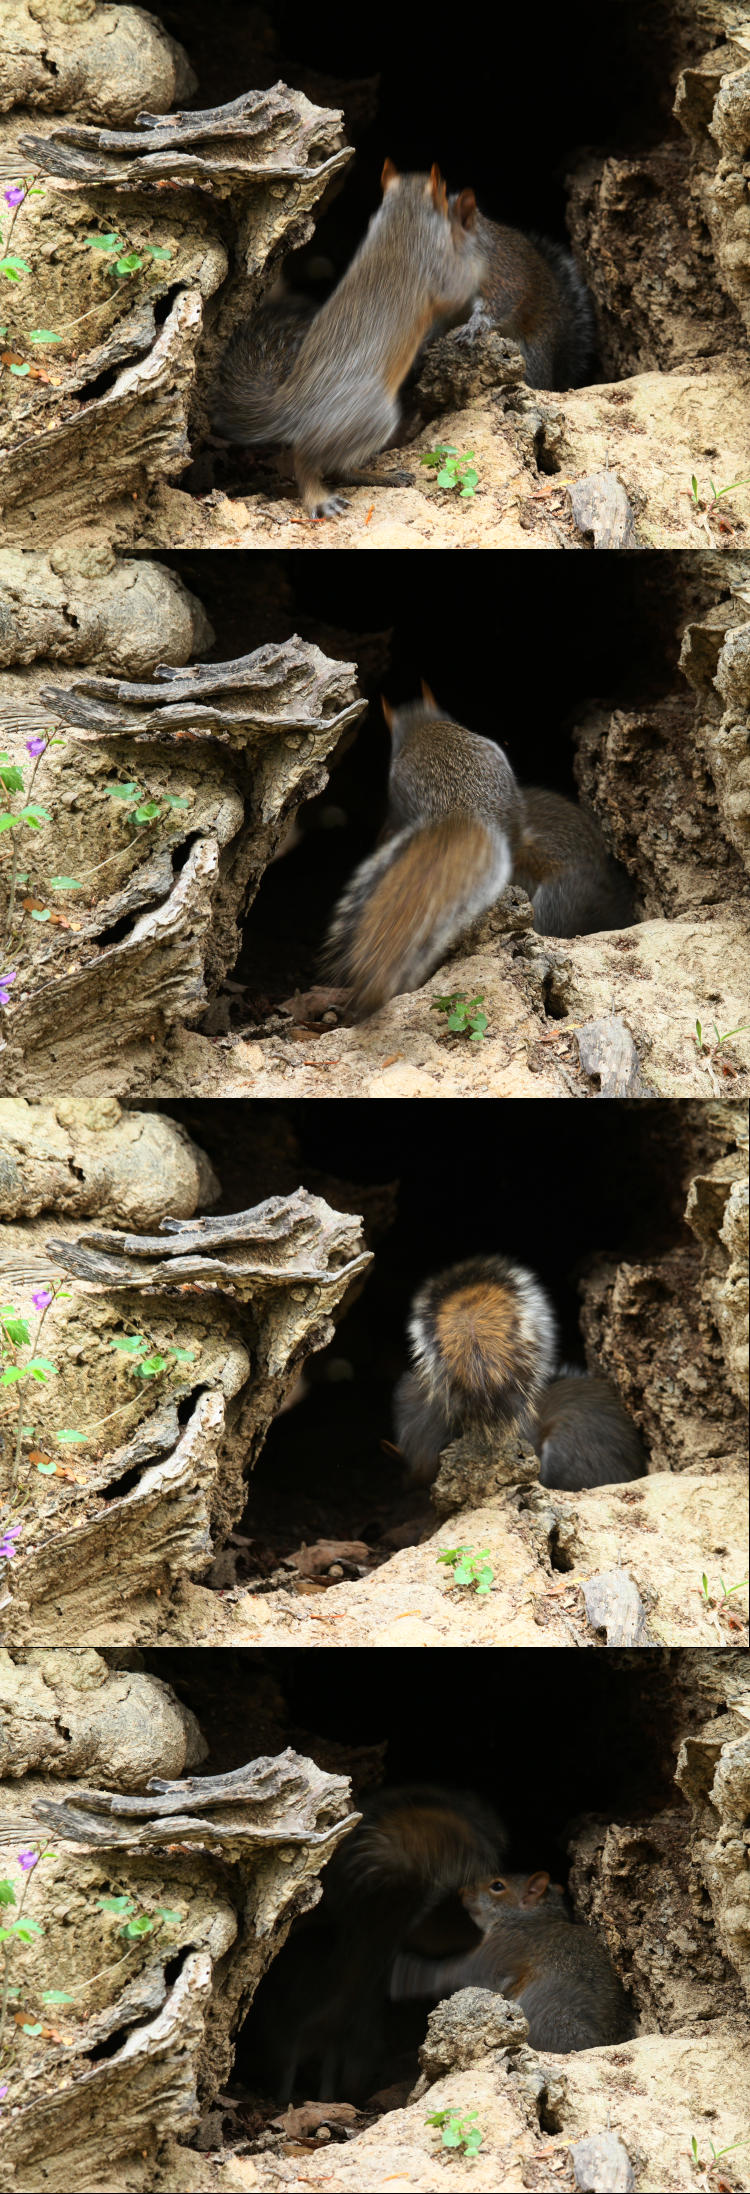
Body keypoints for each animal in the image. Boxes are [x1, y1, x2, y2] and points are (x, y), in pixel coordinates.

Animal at [209, 161, 486, 517]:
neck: (403, 219)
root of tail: (290, 406)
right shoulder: (438, 269)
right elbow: (459, 288)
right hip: (370, 417)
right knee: (308, 460)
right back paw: (321, 497)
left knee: (340, 468)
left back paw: (383, 476)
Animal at [392, 1869, 631, 2053]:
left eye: (497, 1886)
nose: (462, 1892)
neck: (529, 1918)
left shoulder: (501, 1948)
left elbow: (457, 1974)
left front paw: (409, 1973)